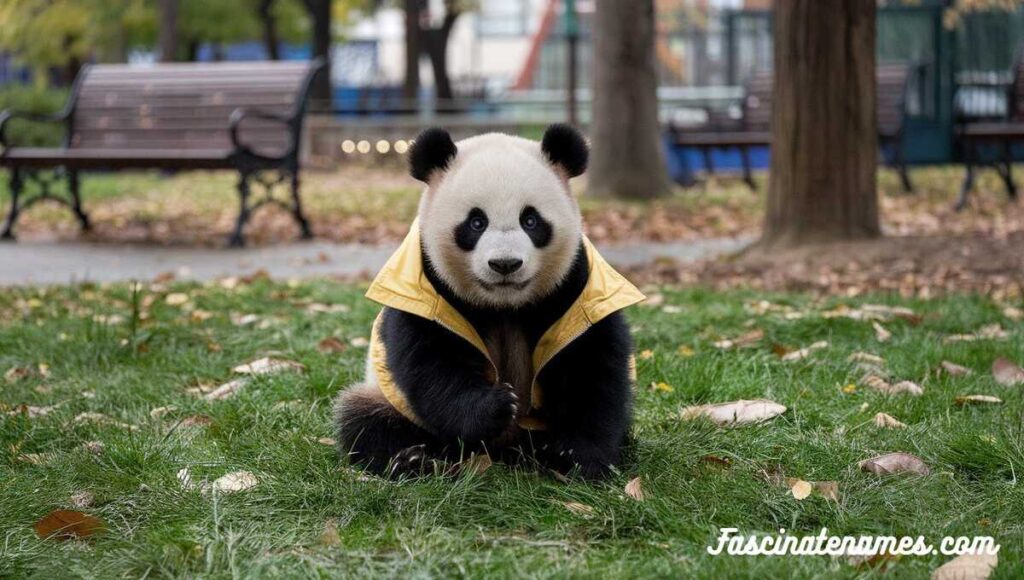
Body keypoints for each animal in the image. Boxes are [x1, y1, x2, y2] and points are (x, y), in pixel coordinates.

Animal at [331, 123, 643, 481]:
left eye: (530, 220)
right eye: (476, 222)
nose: (505, 264)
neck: (504, 304)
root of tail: (506, 450)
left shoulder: (575, 285)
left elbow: (590, 365)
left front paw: (579, 457)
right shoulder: (426, 286)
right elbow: (430, 364)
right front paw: (496, 405)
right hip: (384, 397)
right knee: (363, 418)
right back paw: (413, 459)